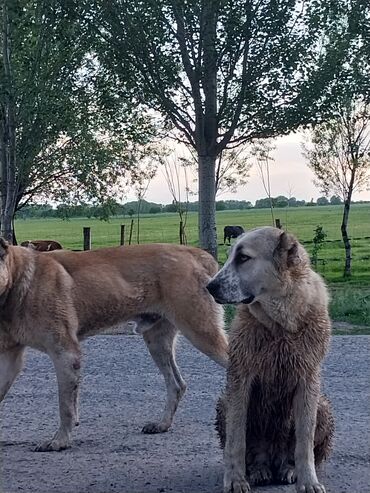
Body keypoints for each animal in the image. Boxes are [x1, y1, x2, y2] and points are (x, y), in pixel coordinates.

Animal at [207, 227, 334, 492]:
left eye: (243, 258)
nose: (209, 286)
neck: (280, 323)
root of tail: (274, 459)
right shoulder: (239, 380)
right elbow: (236, 438)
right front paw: (235, 479)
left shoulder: (308, 381)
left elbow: (304, 442)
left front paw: (308, 480)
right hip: (224, 402)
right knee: (253, 452)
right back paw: (257, 470)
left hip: (323, 406)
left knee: (295, 451)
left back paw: (289, 468)